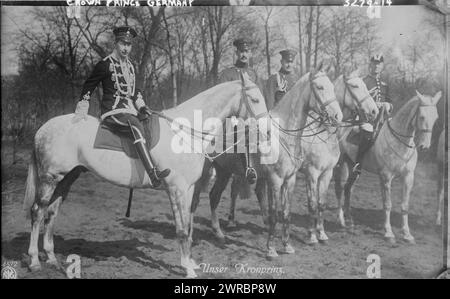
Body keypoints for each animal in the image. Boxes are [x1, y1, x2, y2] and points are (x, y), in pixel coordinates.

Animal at [22, 75, 268, 278]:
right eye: (255, 99)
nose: (266, 130)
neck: (183, 131)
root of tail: (43, 128)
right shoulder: (176, 189)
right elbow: (181, 229)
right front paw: (187, 269)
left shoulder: (188, 190)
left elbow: (188, 227)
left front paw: (190, 263)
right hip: (50, 178)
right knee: (38, 211)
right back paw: (34, 261)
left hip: (67, 178)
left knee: (52, 212)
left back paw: (52, 259)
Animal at [336, 91, 442, 244]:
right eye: (422, 116)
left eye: (436, 117)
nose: (424, 146)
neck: (401, 142)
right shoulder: (386, 177)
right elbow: (387, 205)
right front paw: (389, 233)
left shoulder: (408, 177)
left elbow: (404, 205)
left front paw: (407, 234)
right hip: (341, 165)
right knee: (340, 189)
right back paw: (341, 221)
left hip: (353, 169)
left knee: (348, 189)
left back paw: (350, 220)